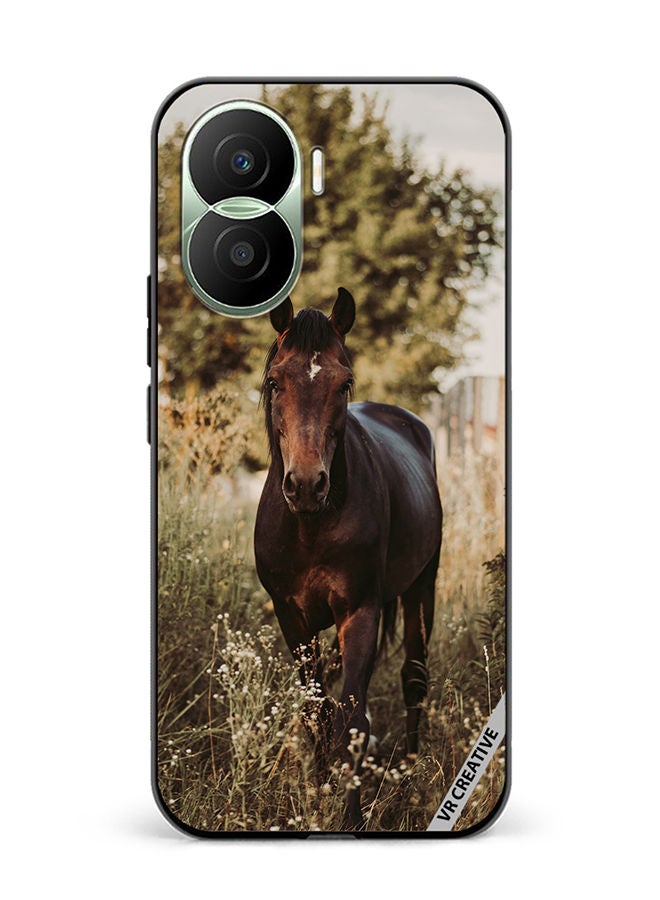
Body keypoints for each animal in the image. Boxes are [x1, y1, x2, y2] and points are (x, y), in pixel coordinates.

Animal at [254, 288, 443, 829]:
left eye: (345, 383)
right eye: (274, 381)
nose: (306, 484)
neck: (310, 525)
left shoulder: (359, 612)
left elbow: (353, 719)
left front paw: (352, 818)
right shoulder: (292, 619)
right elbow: (315, 713)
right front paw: (317, 798)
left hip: (422, 588)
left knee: (414, 680)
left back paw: (408, 776)